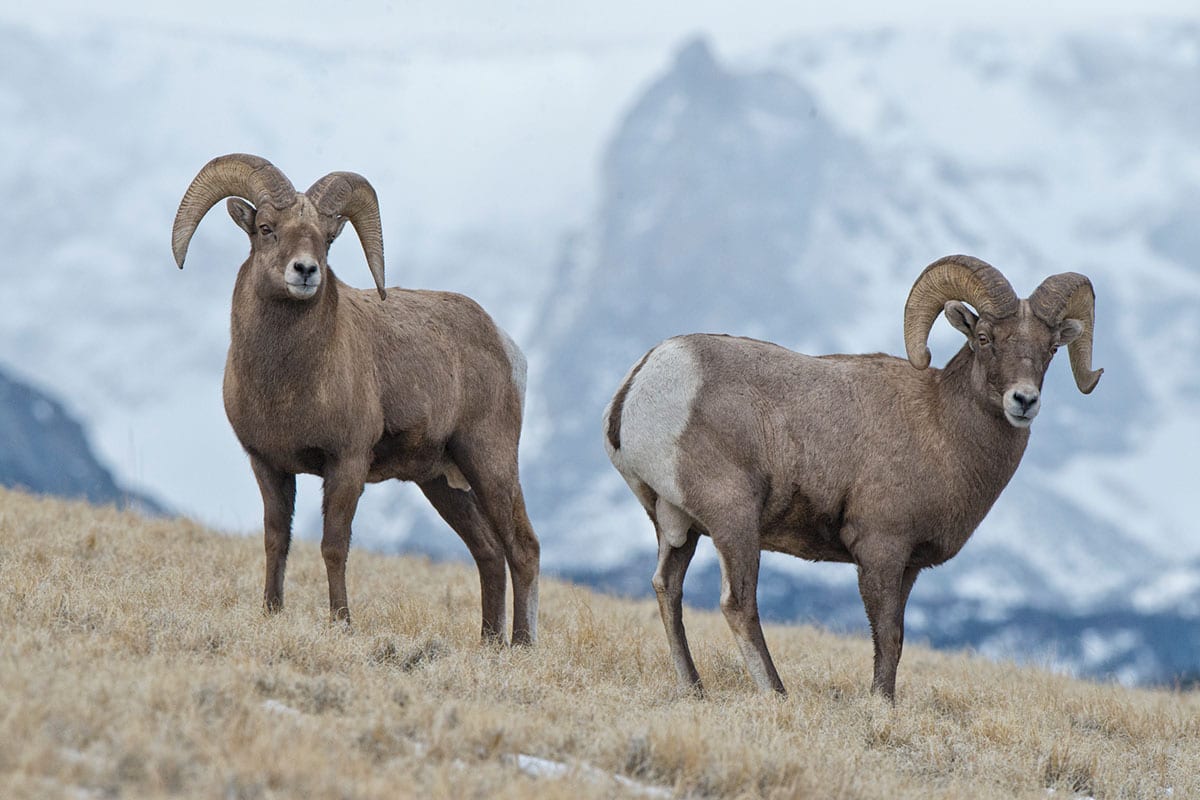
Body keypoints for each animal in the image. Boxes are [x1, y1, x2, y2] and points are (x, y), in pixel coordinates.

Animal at [171, 153, 540, 644]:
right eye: (266, 228)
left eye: (327, 239)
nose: (305, 271)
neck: (286, 383)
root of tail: (506, 345)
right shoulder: (268, 465)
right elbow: (275, 540)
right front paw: (271, 611)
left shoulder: (346, 465)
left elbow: (333, 546)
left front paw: (342, 621)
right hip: (441, 483)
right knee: (488, 553)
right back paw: (488, 644)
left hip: (489, 461)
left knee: (522, 548)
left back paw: (521, 645)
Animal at [602, 255, 1102, 700]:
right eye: (984, 336)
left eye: (1050, 348)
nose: (1024, 400)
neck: (941, 427)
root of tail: (644, 381)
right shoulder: (880, 553)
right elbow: (887, 638)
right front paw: (882, 705)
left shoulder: (908, 568)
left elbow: (896, 641)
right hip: (734, 520)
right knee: (738, 603)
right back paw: (777, 694)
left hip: (677, 526)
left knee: (668, 588)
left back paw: (695, 689)